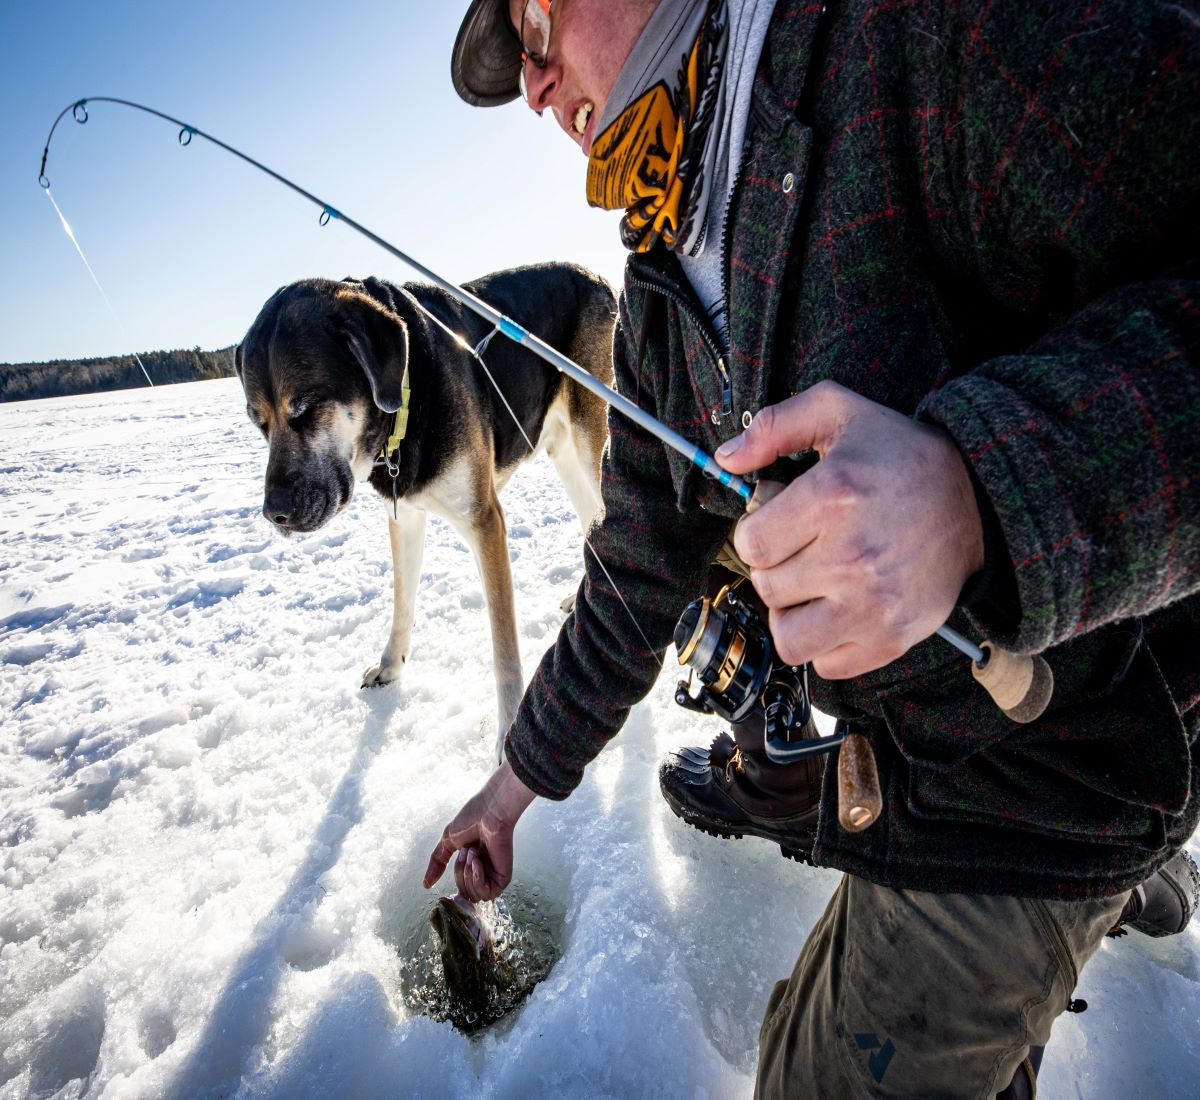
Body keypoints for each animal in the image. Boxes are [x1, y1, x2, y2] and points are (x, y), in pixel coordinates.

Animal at [237, 261, 619, 753]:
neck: (409, 392)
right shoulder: (405, 515)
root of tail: (596, 276)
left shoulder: (485, 522)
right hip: (562, 452)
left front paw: (509, 732)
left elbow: (503, 650)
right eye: (258, 422)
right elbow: (402, 600)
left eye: (303, 408)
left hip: (588, 440)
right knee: (593, 520)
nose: (274, 513)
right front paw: (391, 665)